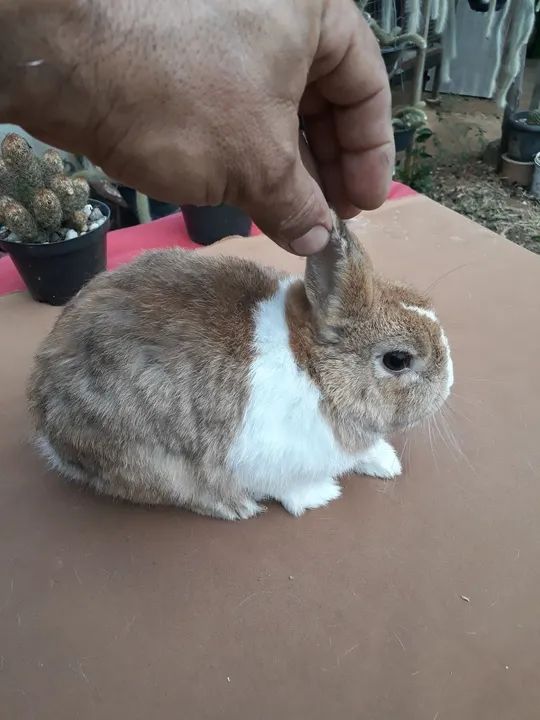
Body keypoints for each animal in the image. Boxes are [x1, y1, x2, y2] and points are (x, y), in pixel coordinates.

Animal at [28, 217, 453, 520]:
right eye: (397, 360)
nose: (449, 384)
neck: (316, 372)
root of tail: (44, 417)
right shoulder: (269, 460)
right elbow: (290, 488)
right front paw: (321, 495)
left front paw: (386, 463)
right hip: (148, 458)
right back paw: (235, 506)